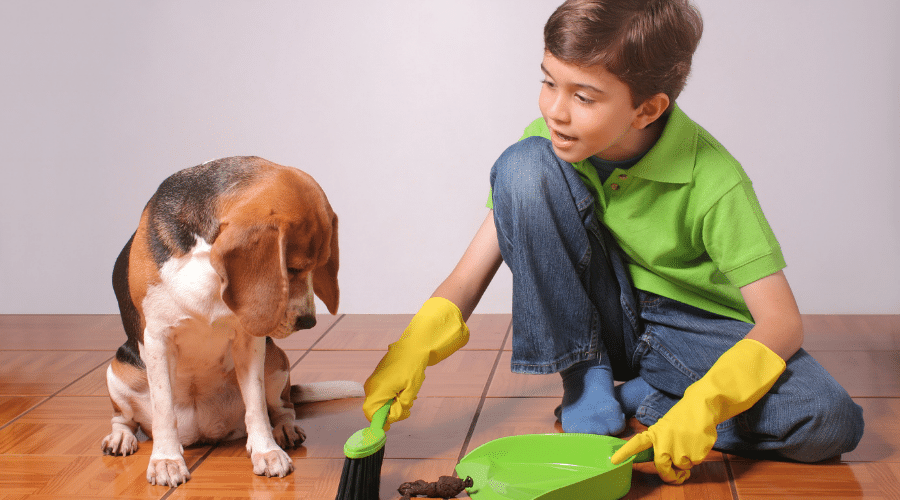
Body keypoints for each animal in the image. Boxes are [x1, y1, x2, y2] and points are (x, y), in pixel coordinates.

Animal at [101, 155, 362, 484]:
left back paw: (285, 429)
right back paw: (121, 437)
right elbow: (163, 410)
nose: (308, 322)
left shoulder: (250, 340)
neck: (204, 258)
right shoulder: (157, 338)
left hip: (275, 359)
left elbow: (256, 405)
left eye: (319, 265)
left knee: (283, 406)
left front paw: (267, 452)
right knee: (123, 419)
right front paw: (166, 460)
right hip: (118, 369)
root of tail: (203, 433)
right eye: (291, 269)